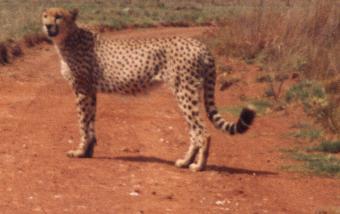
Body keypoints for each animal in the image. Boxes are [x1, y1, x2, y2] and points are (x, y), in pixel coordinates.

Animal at [41, 8, 255, 171]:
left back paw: (198, 166)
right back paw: (185, 162)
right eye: (45, 15)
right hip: (185, 93)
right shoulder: (91, 92)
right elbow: (90, 123)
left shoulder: (82, 90)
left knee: (201, 131)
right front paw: (88, 151)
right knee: (194, 131)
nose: (47, 25)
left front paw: (79, 151)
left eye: (58, 16)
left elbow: (83, 124)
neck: (68, 37)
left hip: (185, 92)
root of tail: (200, 45)